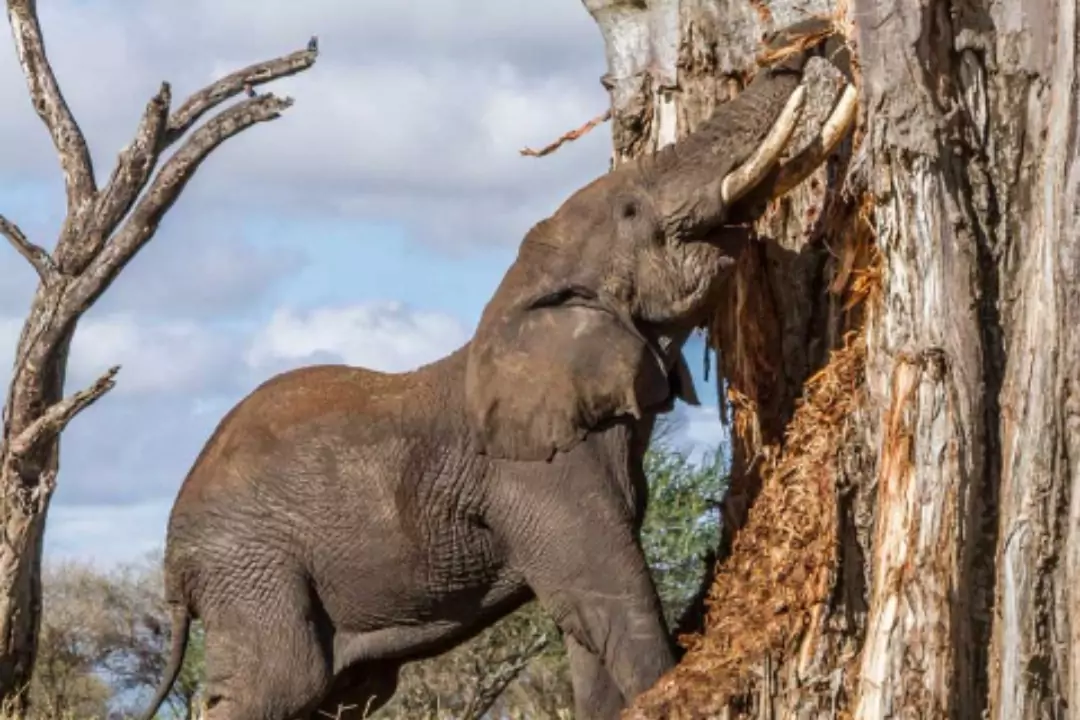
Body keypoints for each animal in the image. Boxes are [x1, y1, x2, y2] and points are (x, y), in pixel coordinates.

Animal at [141, 35, 851, 720]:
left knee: (341, 694)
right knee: (279, 684)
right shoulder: (537, 476)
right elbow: (612, 600)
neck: (522, 300)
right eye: (630, 210)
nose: (795, 51)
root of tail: (175, 564)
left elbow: (589, 635)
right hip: (254, 570)